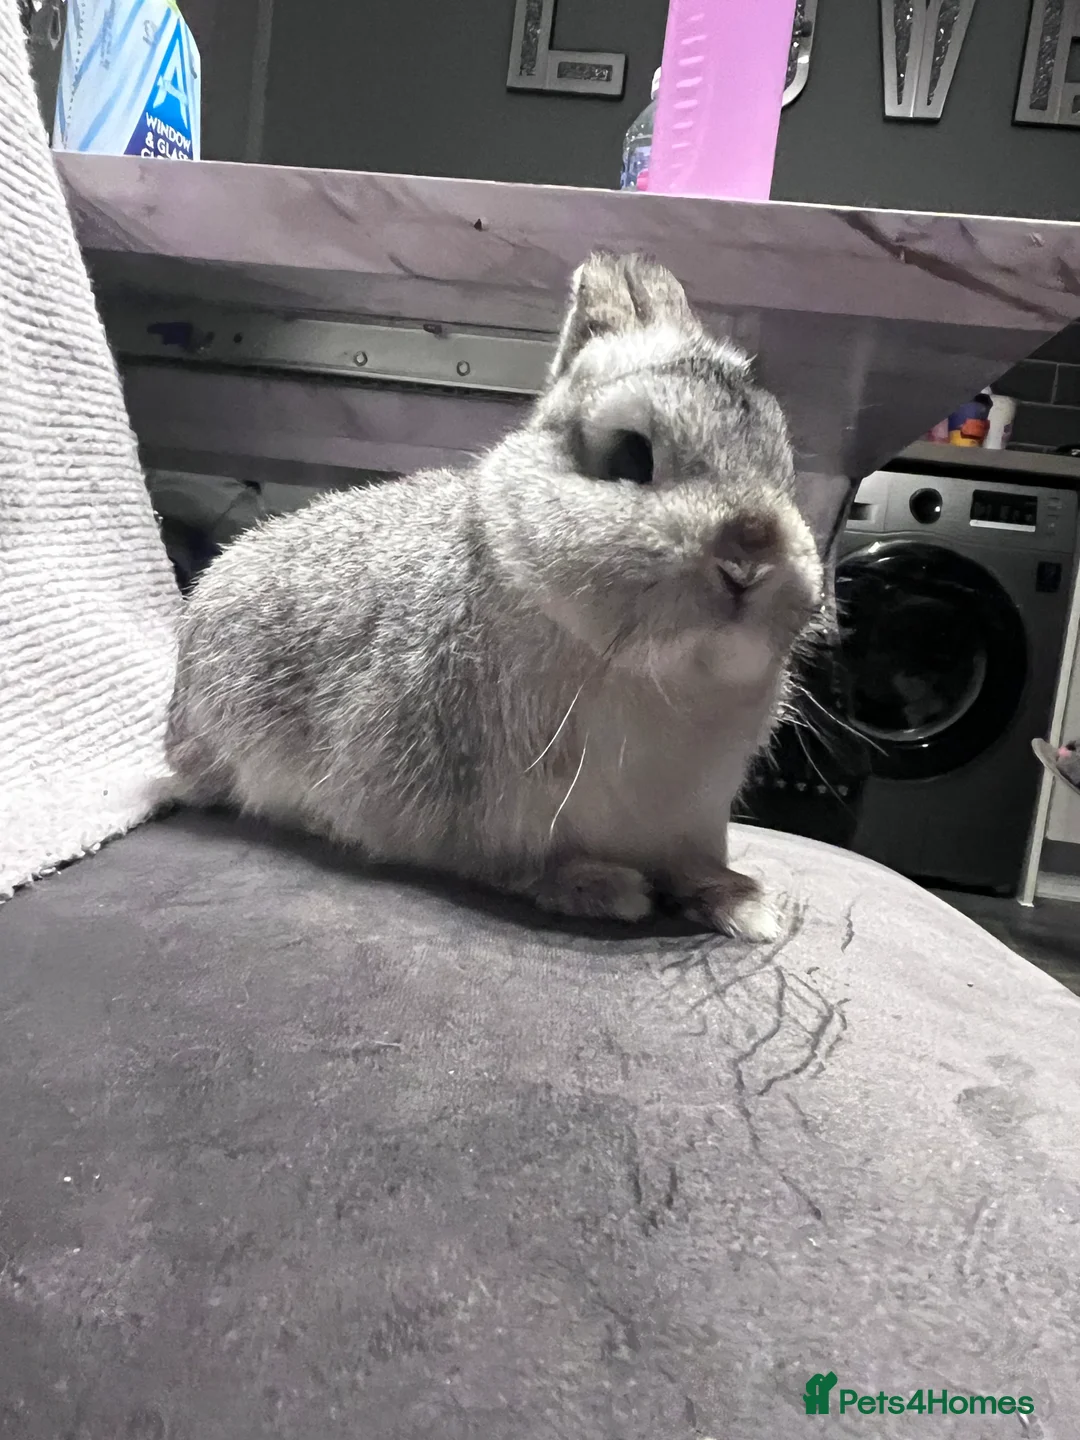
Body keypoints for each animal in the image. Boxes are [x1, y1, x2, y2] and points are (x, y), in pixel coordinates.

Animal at [166, 252, 824, 940]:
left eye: (784, 468)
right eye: (630, 456)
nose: (749, 559)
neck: (661, 672)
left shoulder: (692, 824)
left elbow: (697, 869)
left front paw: (748, 907)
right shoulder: (490, 818)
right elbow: (517, 866)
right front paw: (603, 888)